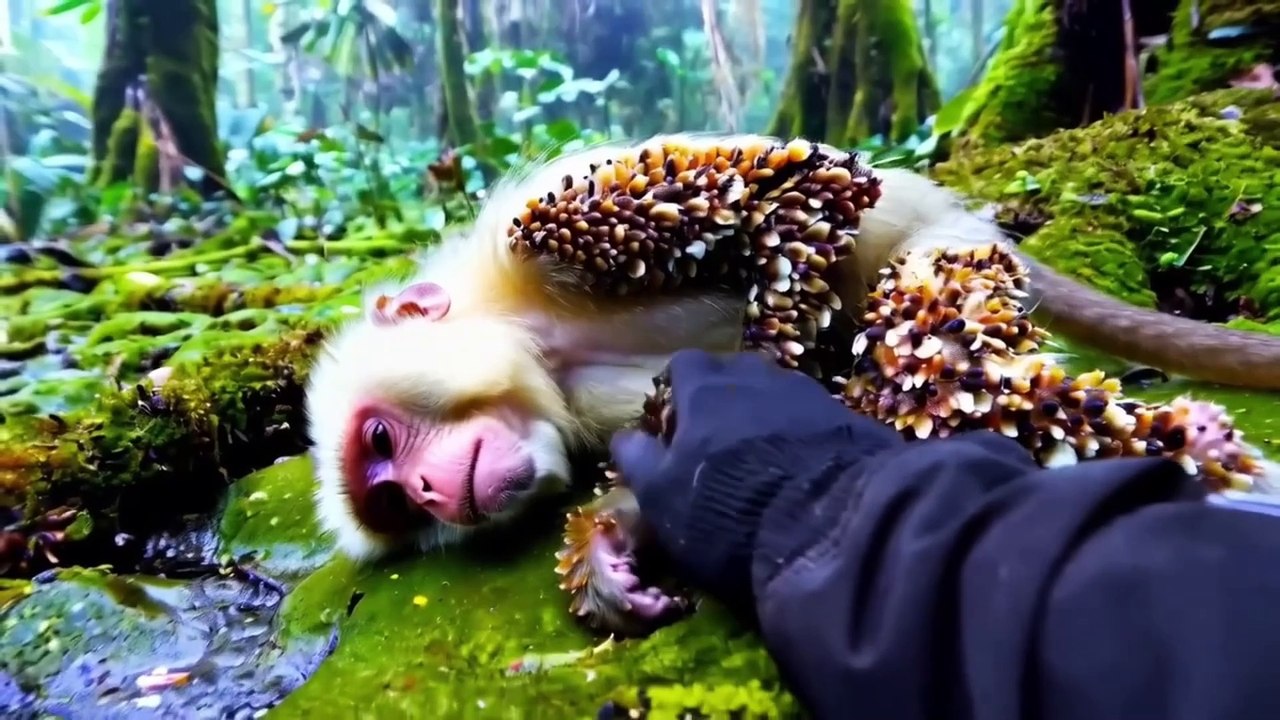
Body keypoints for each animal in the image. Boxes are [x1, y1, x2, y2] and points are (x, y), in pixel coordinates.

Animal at [301, 133, 1280, 630]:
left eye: (382, 442)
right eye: (394, 501)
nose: (430, 492)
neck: (543, 347)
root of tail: (962, 213)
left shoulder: (545, 241)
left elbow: (806, 189)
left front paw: (777, 380)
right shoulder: (577, 401)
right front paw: (612, 548)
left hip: (949, 250)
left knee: (930, 335)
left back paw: (1178, 439)